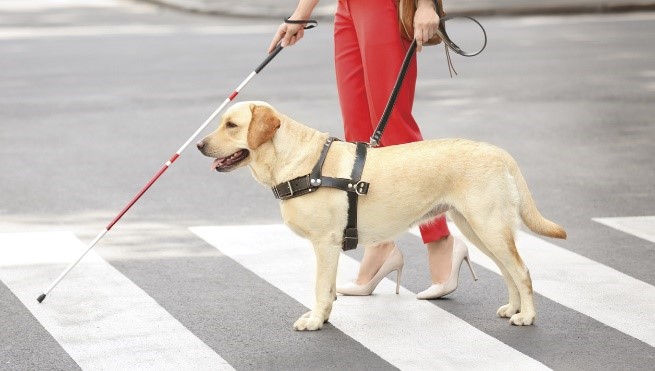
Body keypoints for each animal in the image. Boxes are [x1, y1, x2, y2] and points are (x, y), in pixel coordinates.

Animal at [197, 101, 568, 332]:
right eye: (222, 123)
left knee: (521, 271)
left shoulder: (325, 243)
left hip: (488, 225)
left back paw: (527, 316)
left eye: (232, 125)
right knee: (508, 271)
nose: (199, 145)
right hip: (478, 228)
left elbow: (320, 287)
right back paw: (513, 309)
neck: (297, 161)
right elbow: (327, 288)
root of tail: (498, 151)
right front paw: (325, 317)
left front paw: (315, 321)